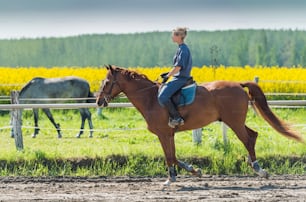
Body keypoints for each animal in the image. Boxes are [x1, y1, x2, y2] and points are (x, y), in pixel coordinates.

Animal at [96, 64, 304, 185]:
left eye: (106, 82)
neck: (150, 98)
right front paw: (193, 171)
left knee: (247, 140)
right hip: (234, 121)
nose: (98, 101)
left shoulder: (163, 134)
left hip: (234, 122)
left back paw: (259, 169)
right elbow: (174, 155)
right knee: (253, 135)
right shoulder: (169, 134)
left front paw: (170, 179)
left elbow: (169, 157)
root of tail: (238, 84)